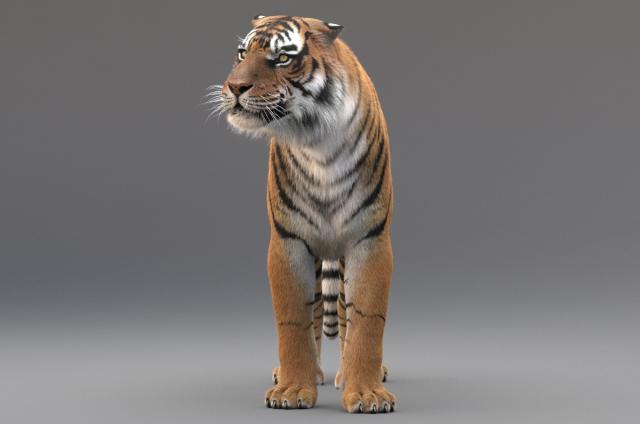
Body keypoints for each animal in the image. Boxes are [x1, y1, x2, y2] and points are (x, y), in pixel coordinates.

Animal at [207, 15, 395, 413]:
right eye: (242, 53)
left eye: (281, 59)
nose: (233, 86)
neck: (317, 143)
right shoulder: (288, 241)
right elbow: (294, 320)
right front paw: (293, 390)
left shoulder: (369, 240)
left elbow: (366, 320)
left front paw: (367, 394)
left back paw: (346, 376)